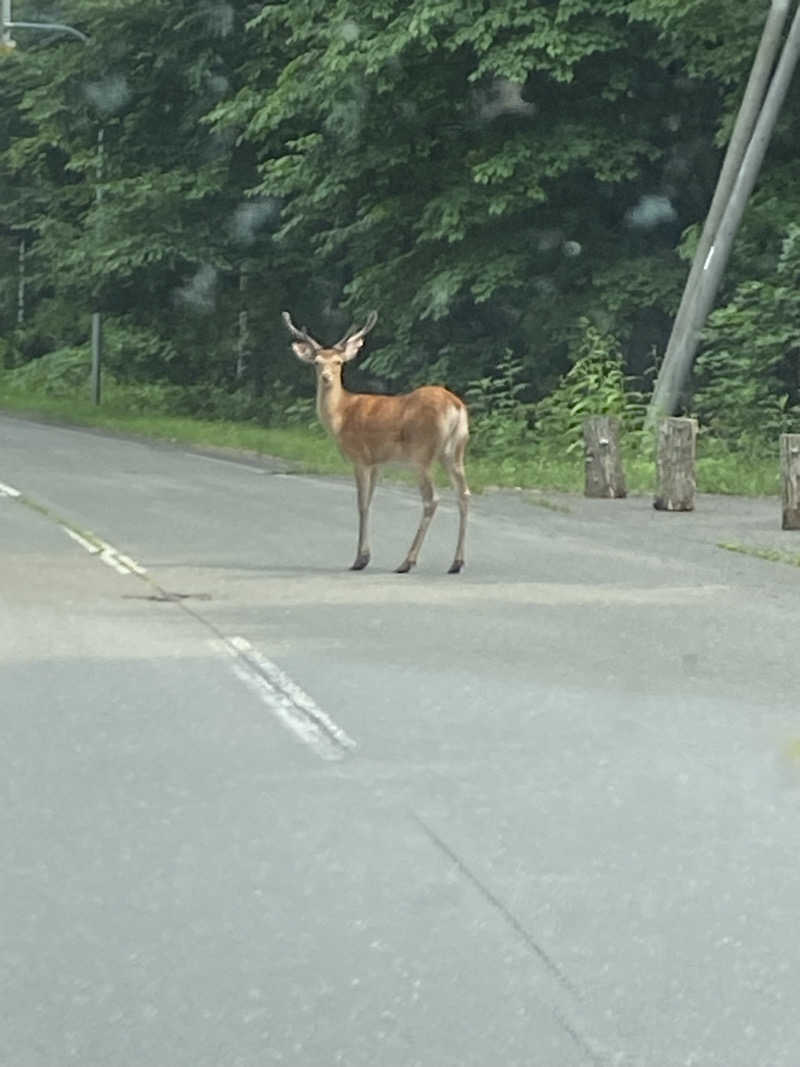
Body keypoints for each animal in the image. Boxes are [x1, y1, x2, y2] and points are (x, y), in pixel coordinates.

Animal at [281, 311, 469, 576]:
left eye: (338, 362)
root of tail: (456, 407)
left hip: (421, 454)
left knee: (432, 499)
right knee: (464, 494)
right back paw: (456, 563)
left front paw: (360, 559)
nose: (327, 378)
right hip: (454, 452)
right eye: (317, 362)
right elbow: (370, 501)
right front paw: (365, 556)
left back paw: (407, 562)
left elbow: (362, 504)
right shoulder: (377, 461)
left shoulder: (360, 457)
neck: (341, 415)